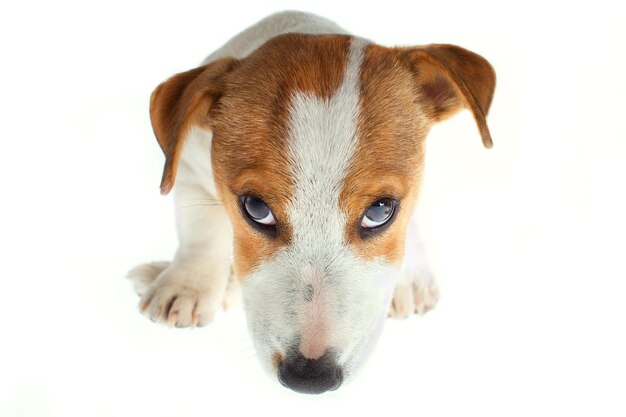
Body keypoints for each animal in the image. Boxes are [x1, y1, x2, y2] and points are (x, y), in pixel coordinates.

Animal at [128, 10, 492, 394]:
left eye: (380, 211)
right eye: (256, 209)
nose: (310, 380)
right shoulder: (189, 166)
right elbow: (200, 232)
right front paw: (187, 285)